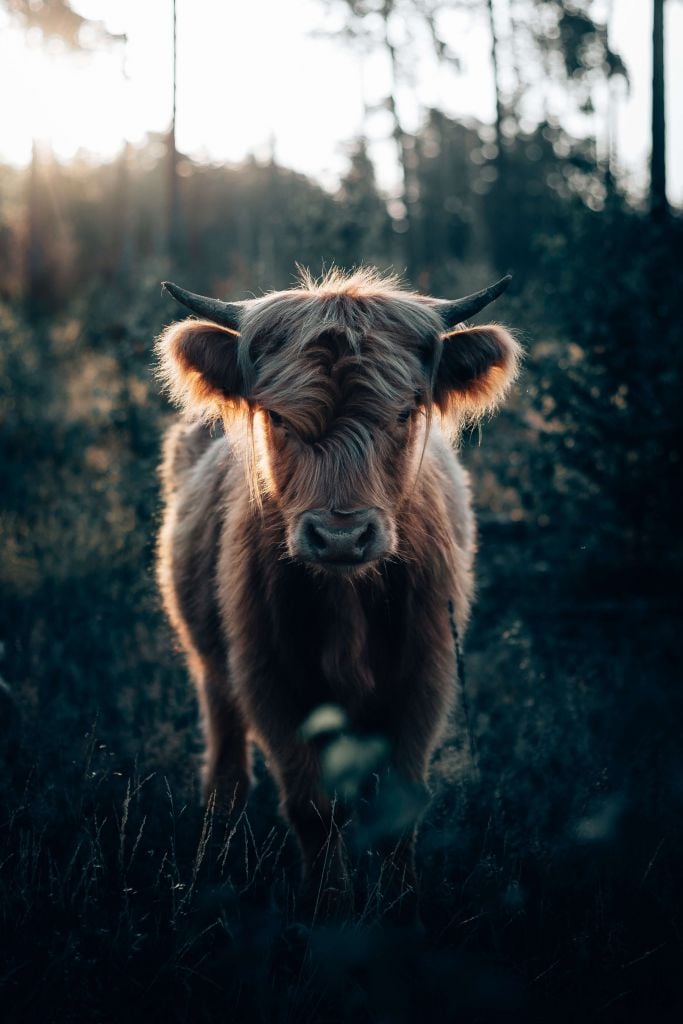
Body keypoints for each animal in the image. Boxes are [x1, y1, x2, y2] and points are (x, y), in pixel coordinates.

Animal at [153, 268, 518, 917]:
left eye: (404, 413)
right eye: (276, 418)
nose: (341, 535)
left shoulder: (426, 672)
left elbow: (398, 804)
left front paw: (401, 907)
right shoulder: (269, 676)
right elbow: (312, 809)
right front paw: (330, 909)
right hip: (211, 667)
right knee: (226, 767)